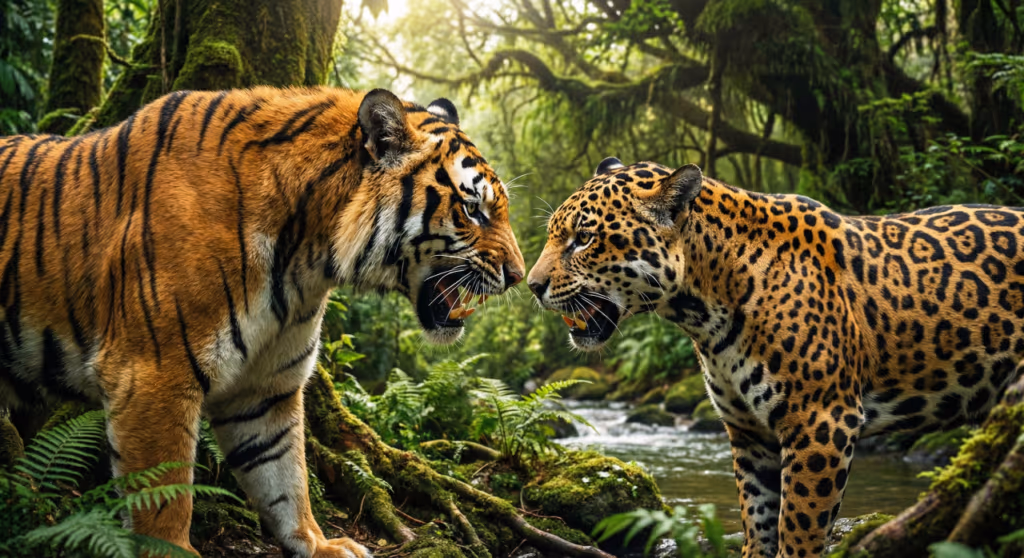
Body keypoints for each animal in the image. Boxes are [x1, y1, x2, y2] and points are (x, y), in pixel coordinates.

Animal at [0, 86, 525, 557]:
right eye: (472, 209)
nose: (519, 276)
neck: (305, 259)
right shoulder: (152, 375)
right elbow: (163, 494)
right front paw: (173, 551)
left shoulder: (265, 386)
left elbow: (284, 474)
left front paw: (318, 543)